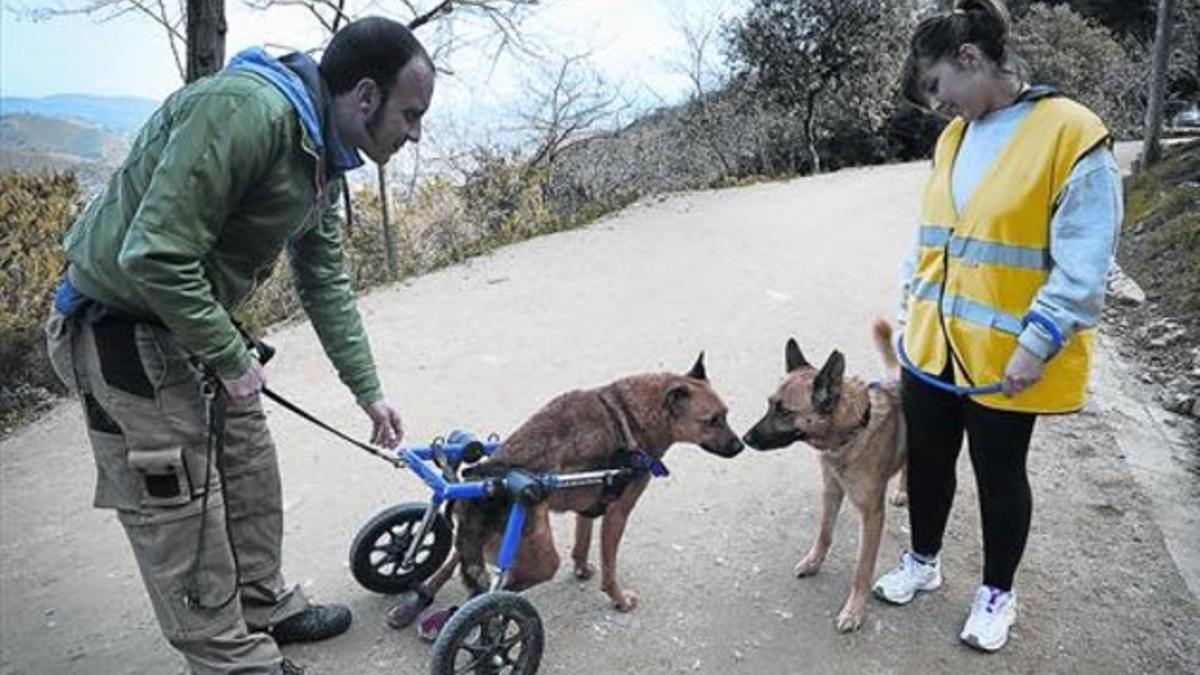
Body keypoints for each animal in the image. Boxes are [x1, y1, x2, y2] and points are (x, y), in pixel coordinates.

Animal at [386, 355, 739, 624]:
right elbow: (610, 570)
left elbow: (582, 544)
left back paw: (416, 604)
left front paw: (582, 569)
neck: (633, 413)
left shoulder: (589, 507)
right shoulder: (617, 515)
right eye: (712, 420)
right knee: (495, 595)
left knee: (451, 566)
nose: (740, 446)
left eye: (726, 415)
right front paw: (619, 600)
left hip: (476, 540)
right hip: (541, 560)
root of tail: (489, 480)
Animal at [744, 317, 902, 629]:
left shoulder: (872, 515)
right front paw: (814, 562)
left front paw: (854, 610)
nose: (745, 439)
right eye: (769, 404)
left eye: (785, 411)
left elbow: (862, 569)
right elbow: (824, 533)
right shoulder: (831, 491)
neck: (854, 429)